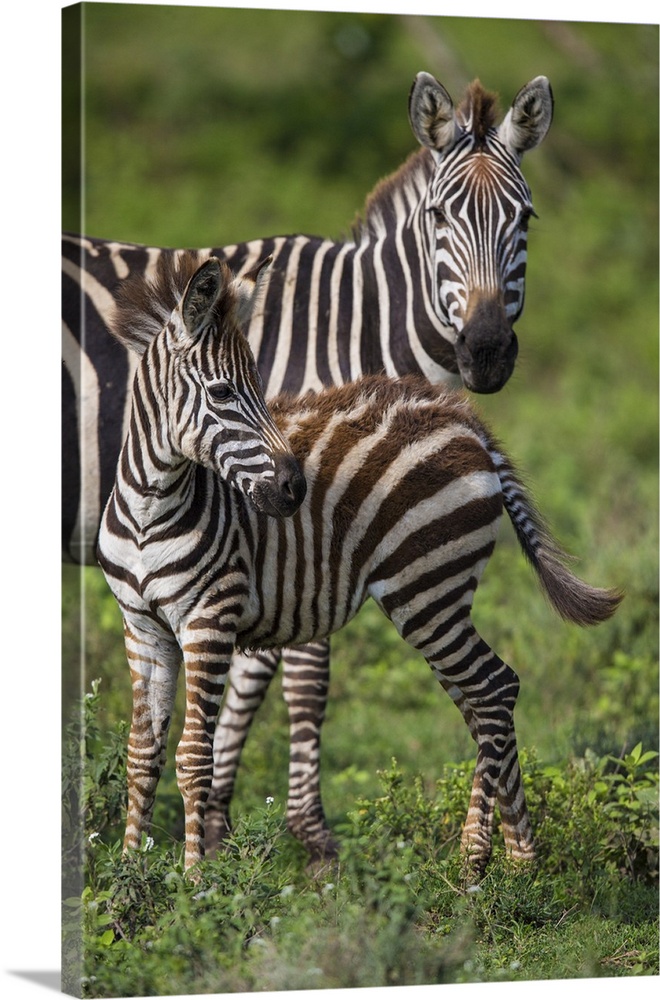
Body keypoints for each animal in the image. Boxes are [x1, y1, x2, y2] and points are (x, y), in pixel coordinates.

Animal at [64, 68, 556, 860]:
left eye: (526, 218)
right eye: (439, 218)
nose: (485, 351)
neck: (355, 324)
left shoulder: (282, 551)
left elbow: (242, 700)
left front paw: (221, 839)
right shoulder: (282, 544)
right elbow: (287, 686)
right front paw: (286, 840)